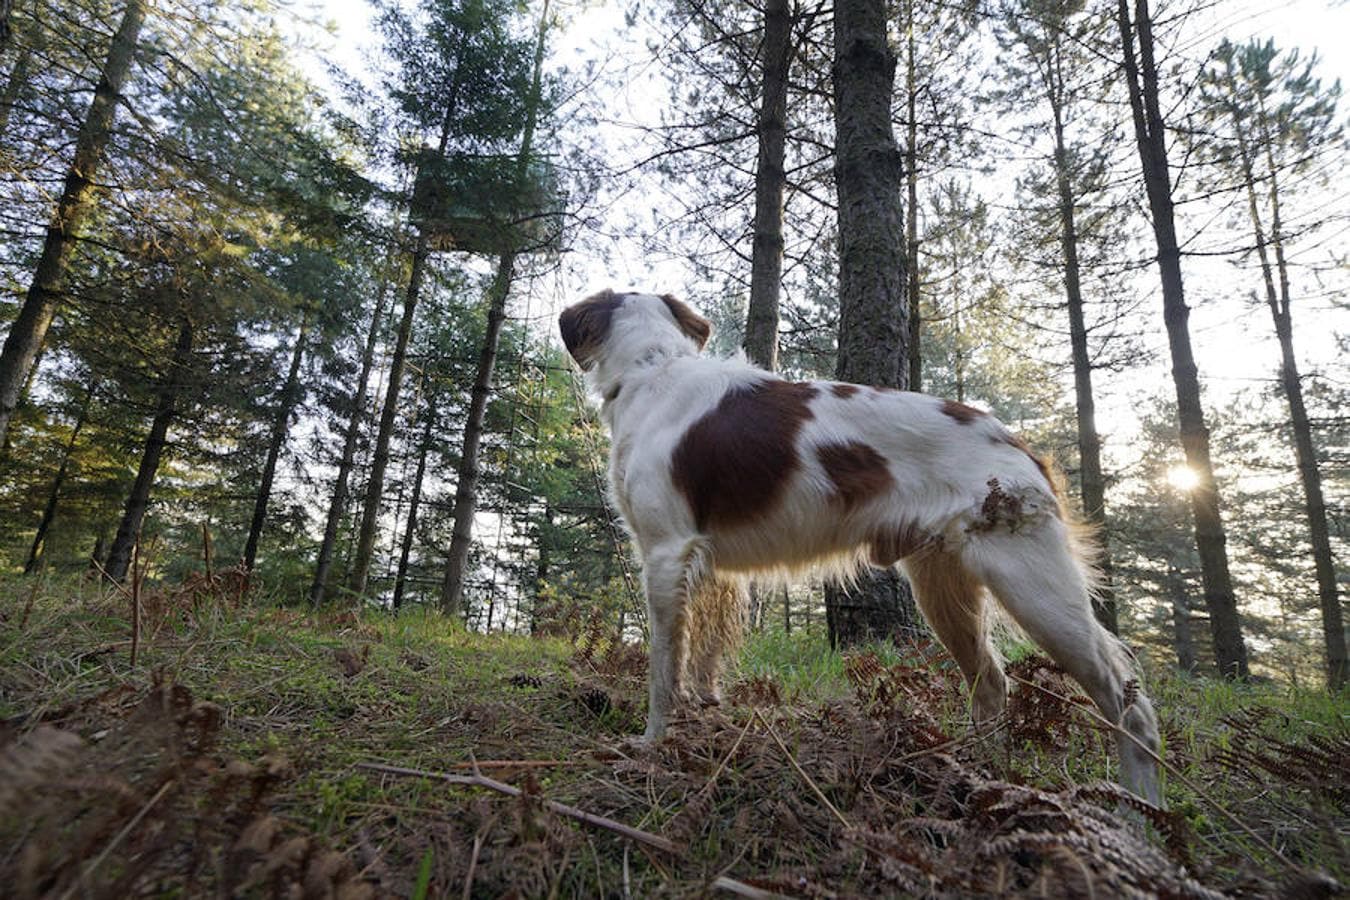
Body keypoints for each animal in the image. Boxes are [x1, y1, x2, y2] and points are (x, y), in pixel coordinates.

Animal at [558, 292, 1161, 804]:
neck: (651, 369)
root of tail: (1017, 443)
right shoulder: (710, 571)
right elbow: (704, 661)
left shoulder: (665, 554)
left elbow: (663, 670)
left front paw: (650, 745)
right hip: (943, 588)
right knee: (991, 681)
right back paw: (977, 774)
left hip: (1032, 586)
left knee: (1128, 700)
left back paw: (1140, 814)